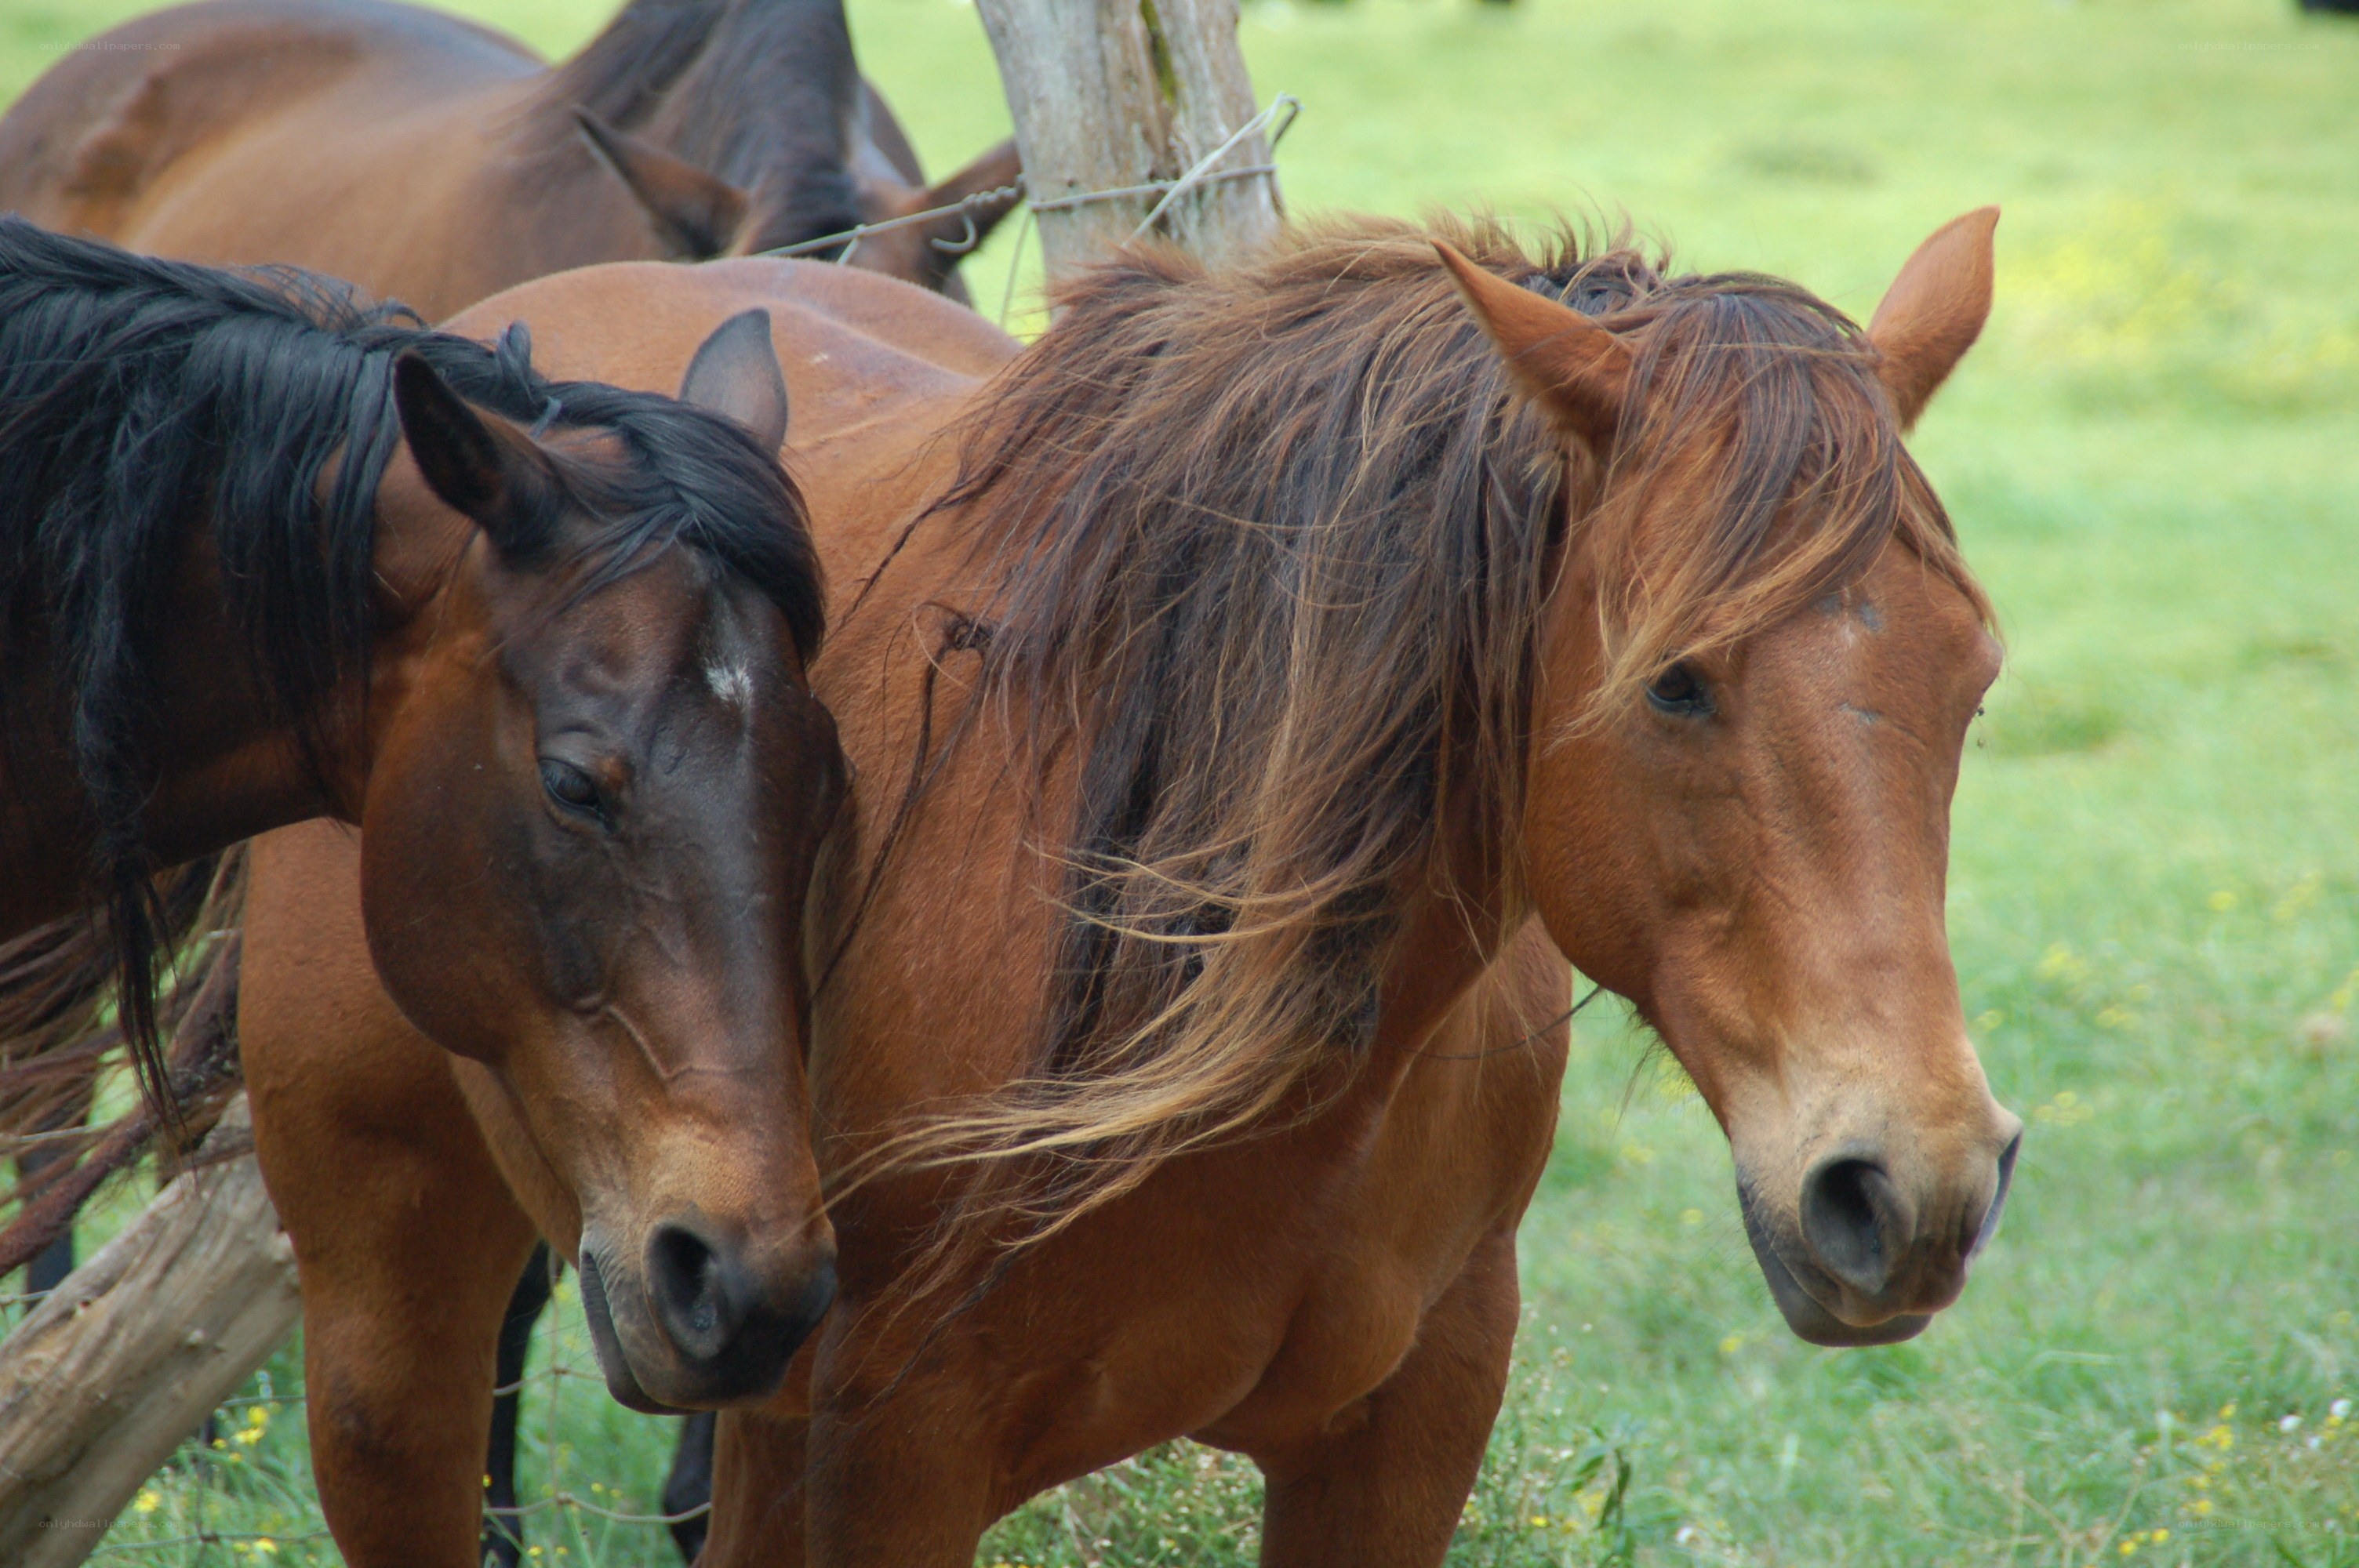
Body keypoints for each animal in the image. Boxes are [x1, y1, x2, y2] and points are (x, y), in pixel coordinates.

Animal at [216, 201, 2020, 1566]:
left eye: (1975, 680)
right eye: (1674, 685)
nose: (1911, 1187)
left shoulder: (1402, 1436)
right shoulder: (885, 1459)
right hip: (392, 1334)